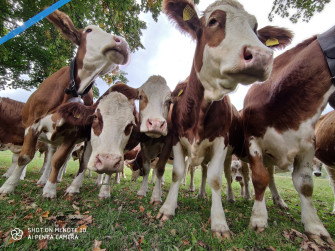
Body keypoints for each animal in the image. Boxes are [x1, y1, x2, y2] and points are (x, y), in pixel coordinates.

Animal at [0, 9, 130, 196]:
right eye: (89, 30)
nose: (123, 43)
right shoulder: (32, 125)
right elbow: (25, 157)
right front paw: (9, 186)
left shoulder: (72, 133)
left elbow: (59, 160)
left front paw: (50, 189)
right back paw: (42, 179)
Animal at [158, 0, 292, 239]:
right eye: (213, 21)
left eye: (256, 28)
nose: (261, 55)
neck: (200, 109)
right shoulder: (175, 138)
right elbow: (177, 173)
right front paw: (167, 208)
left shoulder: (221, 142)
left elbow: (216, 178)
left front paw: (219, 223)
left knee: (232, 175)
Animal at [242, 30, 335, 243]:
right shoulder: (252, 140)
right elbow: (259, 178)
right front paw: (258, 219)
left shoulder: (309, 145)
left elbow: (305, 184)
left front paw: (315, 226)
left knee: (272, 177)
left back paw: (279, 201)